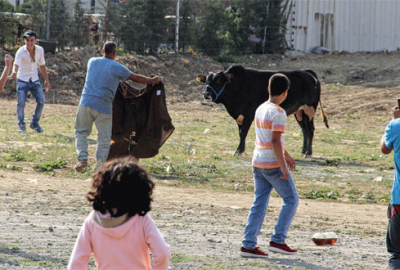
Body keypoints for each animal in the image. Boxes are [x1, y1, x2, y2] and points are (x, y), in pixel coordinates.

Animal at [198, 64, 330, 157]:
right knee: (304, 130)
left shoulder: (249, 114)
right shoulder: (240, 115)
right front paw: (240, 150)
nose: (206, 93)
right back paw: (303, 150)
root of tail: (308, 72)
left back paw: (308, 153)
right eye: (206, 81)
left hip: (309, 109)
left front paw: (239, 151)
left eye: (218, 81)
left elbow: (243, 132)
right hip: (299, 112)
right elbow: (240, 132)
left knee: (310, 129)